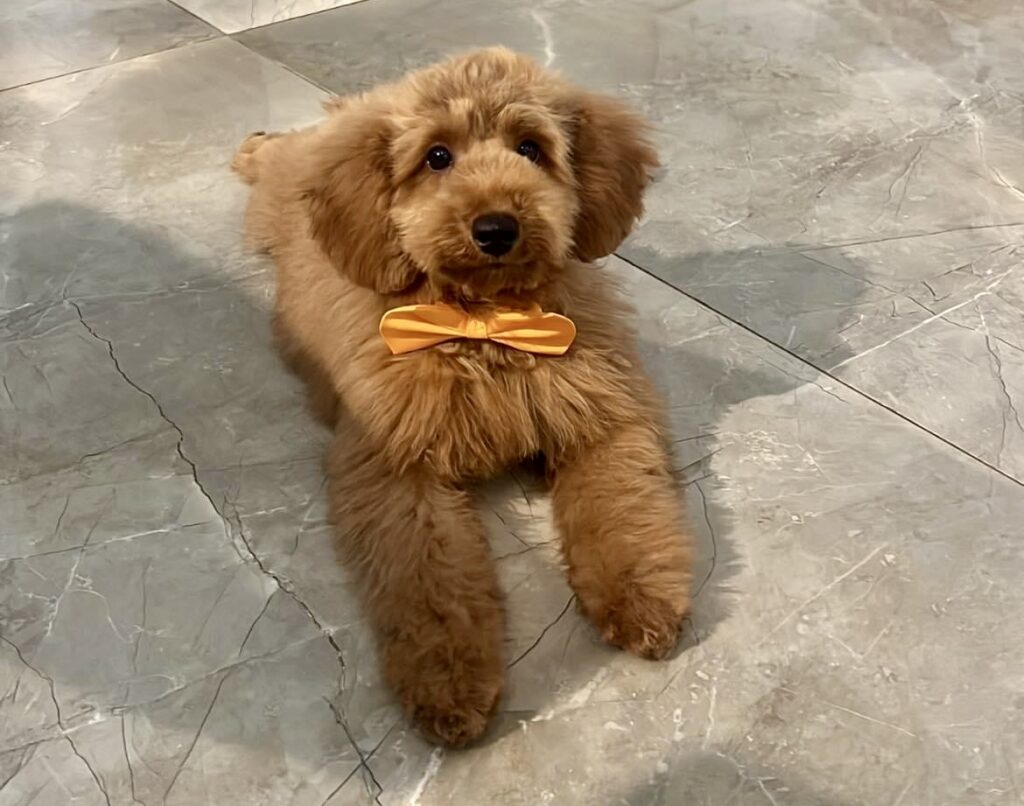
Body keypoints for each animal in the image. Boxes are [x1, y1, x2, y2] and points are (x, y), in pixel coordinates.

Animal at [233, 47, 696, 745]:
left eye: (530, 147)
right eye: (437, 157)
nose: (497, 227)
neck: (484, 323)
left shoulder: (603, 421)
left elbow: (625, 512)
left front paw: (641, 596)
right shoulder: (397, 469)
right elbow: (430, 585)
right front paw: (449, 682)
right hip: (277, 200)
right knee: (281, 154)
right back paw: (252, 147)